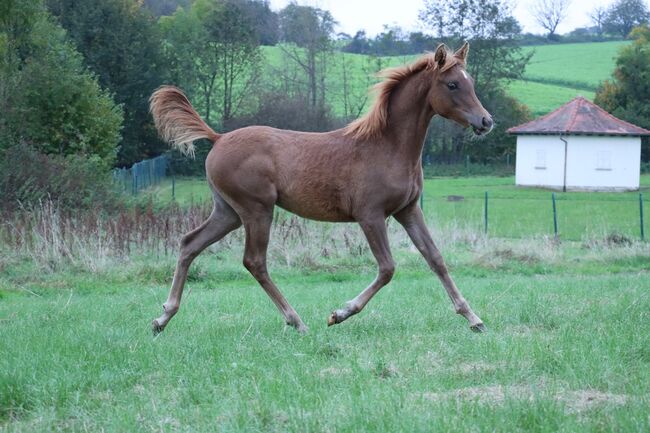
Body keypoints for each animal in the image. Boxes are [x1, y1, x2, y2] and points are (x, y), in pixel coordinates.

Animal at [148, 43, 492, 334]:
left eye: (470, 81)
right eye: (452, 84)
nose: (486, 121)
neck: (387, 146)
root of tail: (218, 138)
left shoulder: (408, 210)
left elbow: (435, 258)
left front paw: (473, 318)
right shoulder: (370, 216)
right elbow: (387, 268)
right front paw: (339, 314)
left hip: (228, 212)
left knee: (190, 243)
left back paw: (163, 317)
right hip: (256, 209)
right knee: (254, 261)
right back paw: (296, 321)